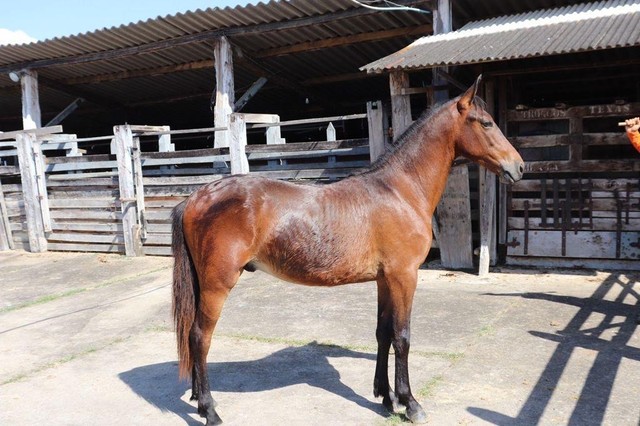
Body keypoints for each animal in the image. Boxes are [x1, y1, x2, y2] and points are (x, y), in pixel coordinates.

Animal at [171, 75, 524, 424]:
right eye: (487, 123)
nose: (518, 167)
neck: (400, 190)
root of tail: (196, 197)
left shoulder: (384, 280)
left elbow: (383, 333)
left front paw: (385, 397)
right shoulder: (404, 276)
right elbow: (403, 336)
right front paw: (410, 403)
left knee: (192, 336)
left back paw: (198, 400)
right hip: (217, 285)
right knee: (200, 337)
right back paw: (210, 410)